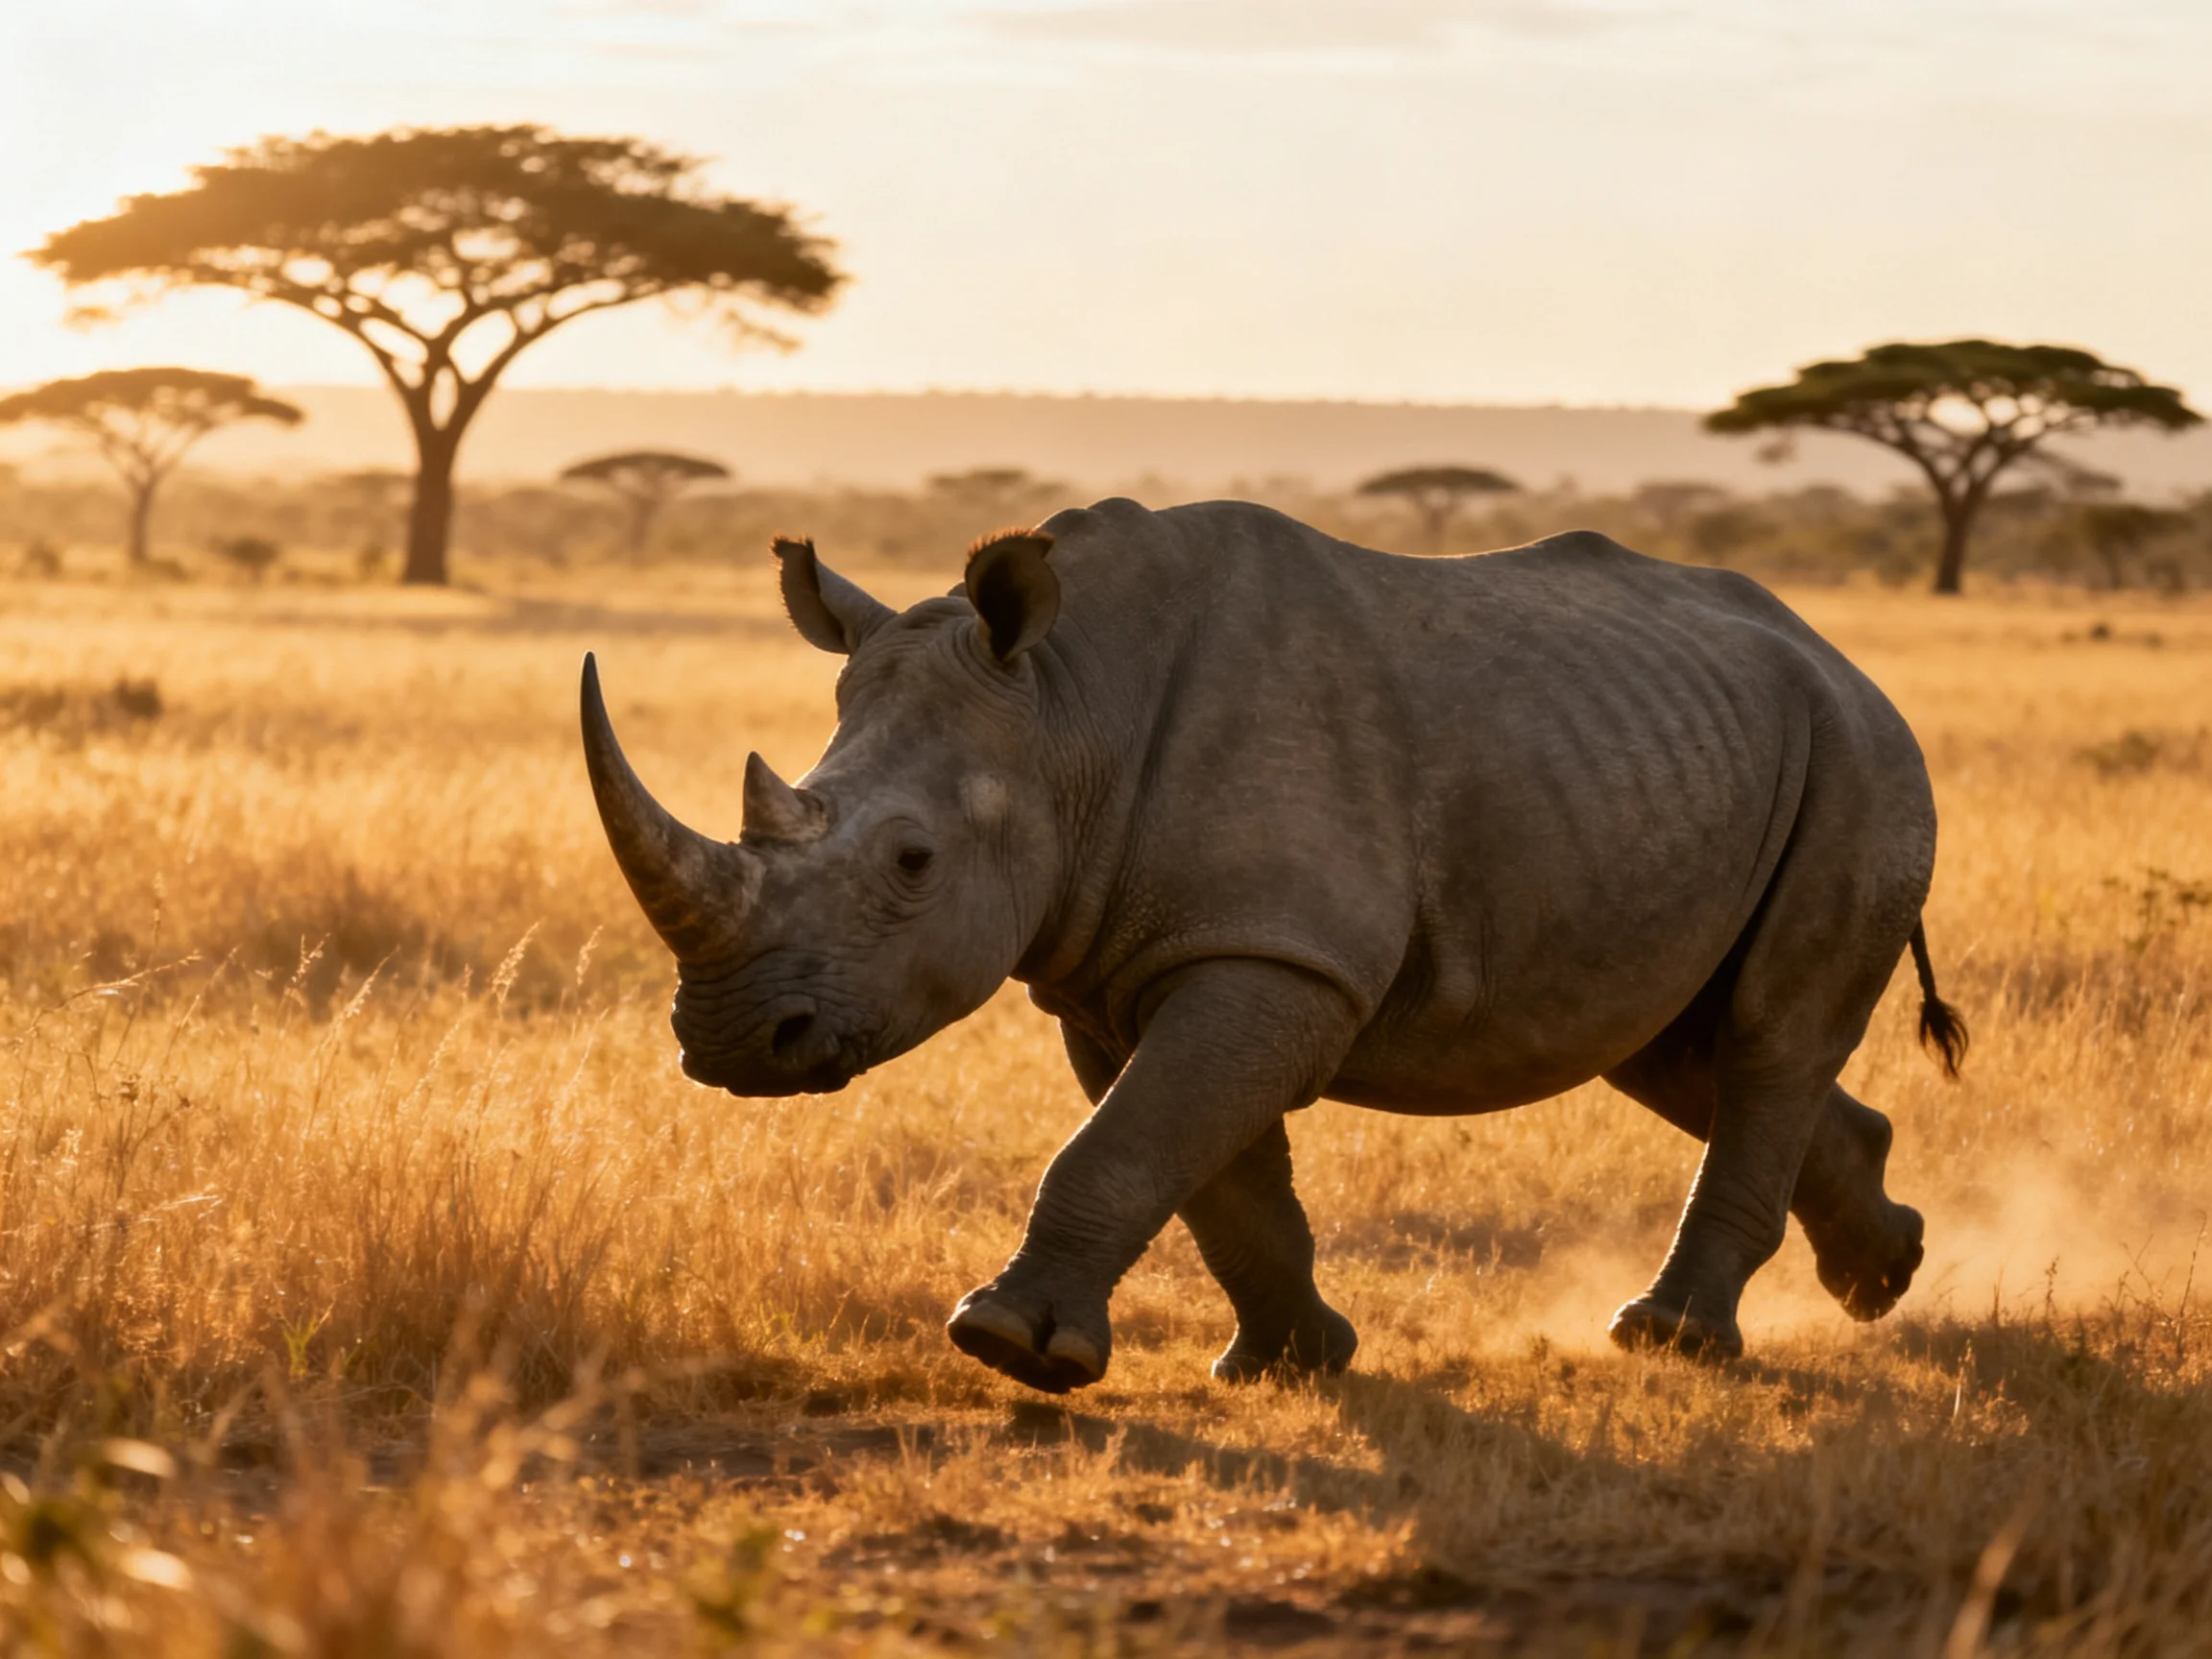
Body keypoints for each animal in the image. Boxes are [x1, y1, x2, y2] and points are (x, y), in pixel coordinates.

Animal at [581, 497, 1965, 1393]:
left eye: (912, 863)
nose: (728, 1042)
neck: (1064, 708)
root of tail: (1846, 660)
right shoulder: (1128, 966)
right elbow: (1211, 1172)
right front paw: (1286, 1365)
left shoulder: (1273, 951)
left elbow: (1128, 1145)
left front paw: (1005, 1348)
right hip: (1679, 763)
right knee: (1677, 1047)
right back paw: (1885, 1273)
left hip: (1862, 756)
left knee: (1767, 1035)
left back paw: (1669, 1343)